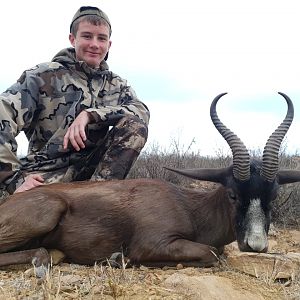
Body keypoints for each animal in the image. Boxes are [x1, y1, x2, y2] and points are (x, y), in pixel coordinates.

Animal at [0, 92, 300, 272]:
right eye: (233, 194)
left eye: (273, 195)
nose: (256, 244)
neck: (189, 206)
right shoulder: (153, 244)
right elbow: (213, 254)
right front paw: (120, 258)